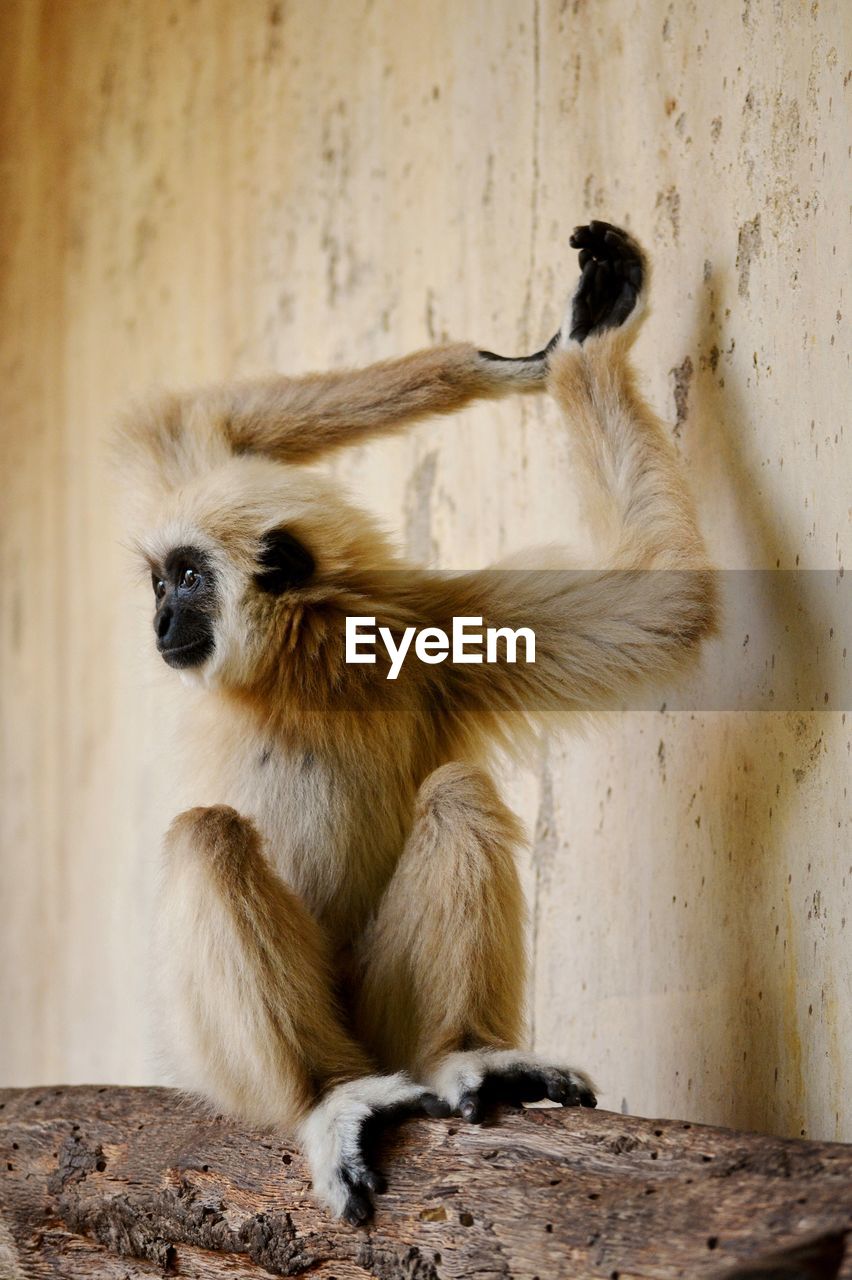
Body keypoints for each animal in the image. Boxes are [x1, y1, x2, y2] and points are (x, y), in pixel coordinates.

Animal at [119, 220, 711, 1218]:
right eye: (162, 583)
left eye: (187, 579)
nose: (160, 623)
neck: (304, 664)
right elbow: (174, 422)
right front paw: (532, 357)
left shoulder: (436, 630)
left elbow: (662, 606)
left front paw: (572, 348)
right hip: (221, 1059)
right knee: (208, 836)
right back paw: (328, 1096)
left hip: (379, 1011)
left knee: (459, 791)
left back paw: (467, 1055)